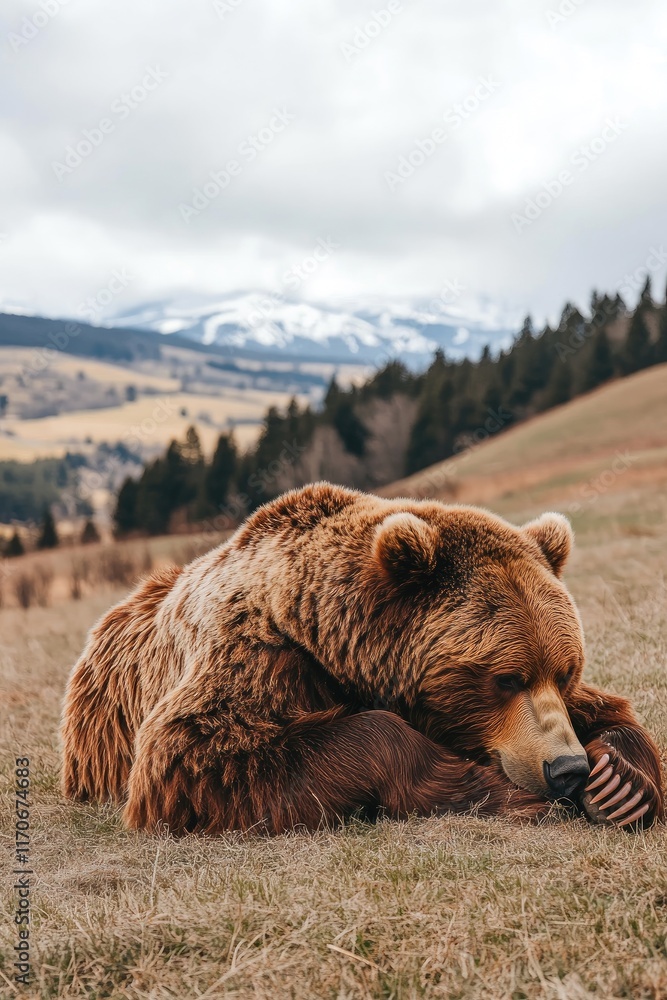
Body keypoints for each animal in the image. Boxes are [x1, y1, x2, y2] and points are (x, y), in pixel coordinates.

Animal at [60, 483, 664, 835]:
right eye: (505, 679)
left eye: (564, 671)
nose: (567, 768)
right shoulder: (255, 657)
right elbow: (196, 756)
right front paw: (493, 790)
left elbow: (608, 710)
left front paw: (619, 784)